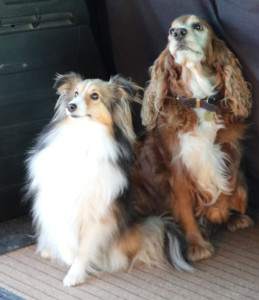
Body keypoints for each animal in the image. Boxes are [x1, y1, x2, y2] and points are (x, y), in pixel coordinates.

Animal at [25, 72, 193, 286]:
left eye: (95, 96)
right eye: (76, 93)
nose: (70, 106)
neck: (82, 137)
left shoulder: (100, 215)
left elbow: (84, 249)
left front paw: (74, 274)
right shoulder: (54, 201)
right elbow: (64, 237)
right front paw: (66, 257)